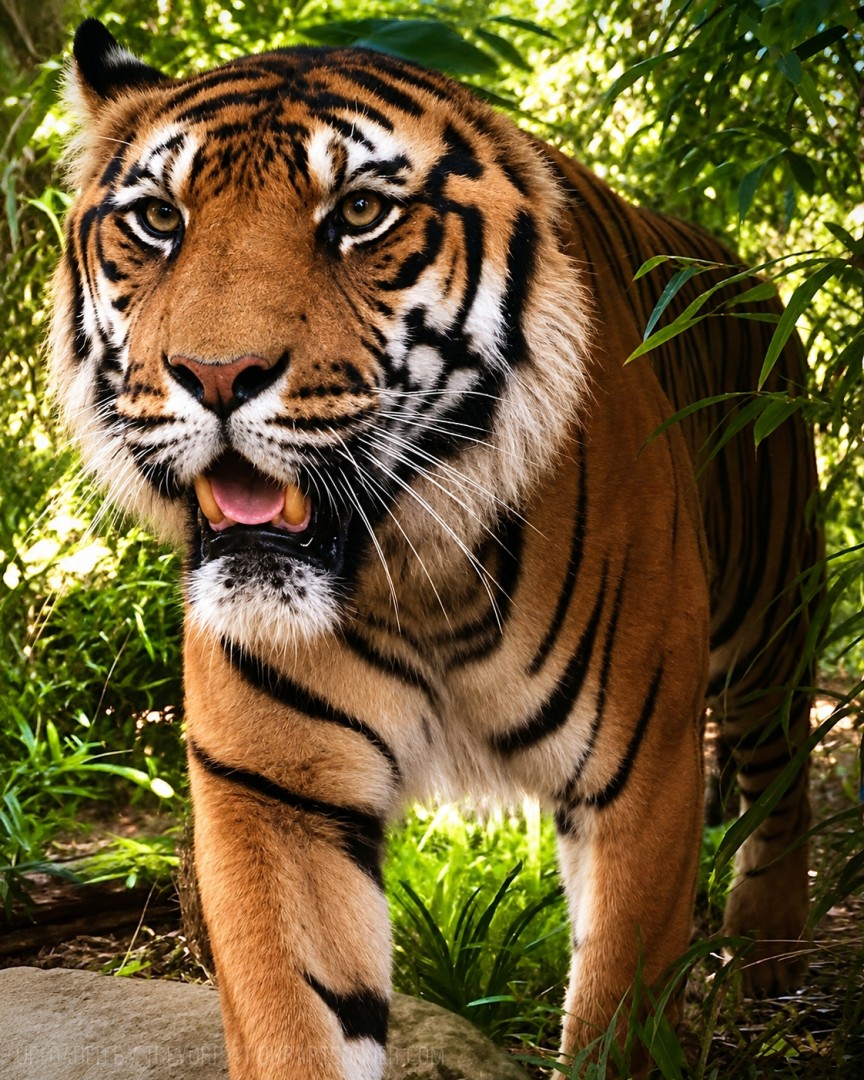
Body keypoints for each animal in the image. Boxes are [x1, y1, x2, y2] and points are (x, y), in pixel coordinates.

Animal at [50, 17, 819, 1080]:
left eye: (360, 212)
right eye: (160, 219)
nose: (215, 373)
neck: (412, 575)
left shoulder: (642, 781)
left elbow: (617, 1014)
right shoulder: (272, 796)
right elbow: (300, 1021)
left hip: (772, 628)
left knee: (782, 780)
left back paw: (770, 957)